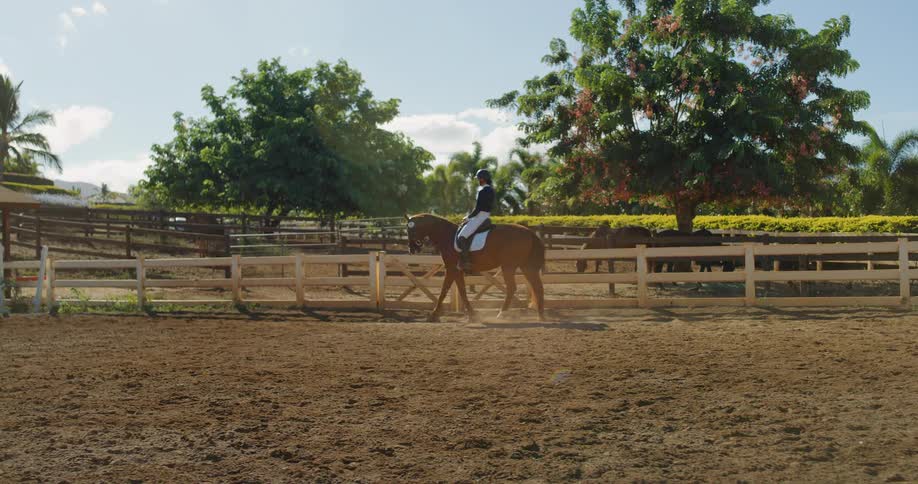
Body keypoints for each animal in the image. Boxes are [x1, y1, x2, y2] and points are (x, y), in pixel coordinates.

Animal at [406, 214, 546, 322]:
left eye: (411, 230)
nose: (412, 249)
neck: (447, 236)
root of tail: (529, 232)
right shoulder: (457, 270)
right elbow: (462, 291)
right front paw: (472, 315)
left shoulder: (451, 269)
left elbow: (444, 291)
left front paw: (434, 315)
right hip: (526, 267)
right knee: (537, 287)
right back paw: (540, 316)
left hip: (508, 267)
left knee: (512, 288)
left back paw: (502, 314)